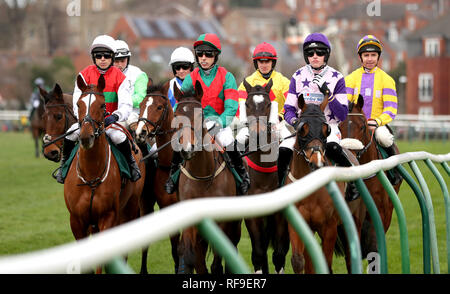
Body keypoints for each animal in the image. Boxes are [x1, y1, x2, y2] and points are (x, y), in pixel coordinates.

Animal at [64, 73, 145, 274]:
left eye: (102, 105)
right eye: (79, 104)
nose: (86, 137)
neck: (91, 174)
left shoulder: (107, 216)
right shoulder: (77, 220)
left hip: (129, 208)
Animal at [172, 80, 243, 274]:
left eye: (200, 114)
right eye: (176, 115)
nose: (186, 149)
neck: (202, 175)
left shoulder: (222, 221)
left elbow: (217, 261)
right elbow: (193, 258)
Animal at [241, 79, 290, 274]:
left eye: (268, 104)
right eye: (247, 104)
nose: (258, 132)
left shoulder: (280, 215)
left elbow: (279, 255)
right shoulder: (252, 215)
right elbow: (258, 254)